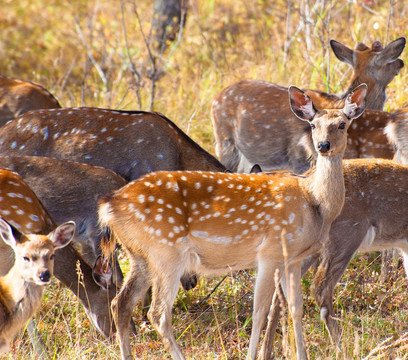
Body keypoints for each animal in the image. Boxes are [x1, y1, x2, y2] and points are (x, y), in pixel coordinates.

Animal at [97, 83, 368, 358]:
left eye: (342, 124)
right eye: (313, 125)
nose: (323, 145)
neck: (314, 202)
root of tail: (108, 205)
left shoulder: (292, 259)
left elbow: (295, 308)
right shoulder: (270, 252)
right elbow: (259, 312)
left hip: (140, 255)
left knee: (120, 303)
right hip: (166, 252)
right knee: (158, 313)